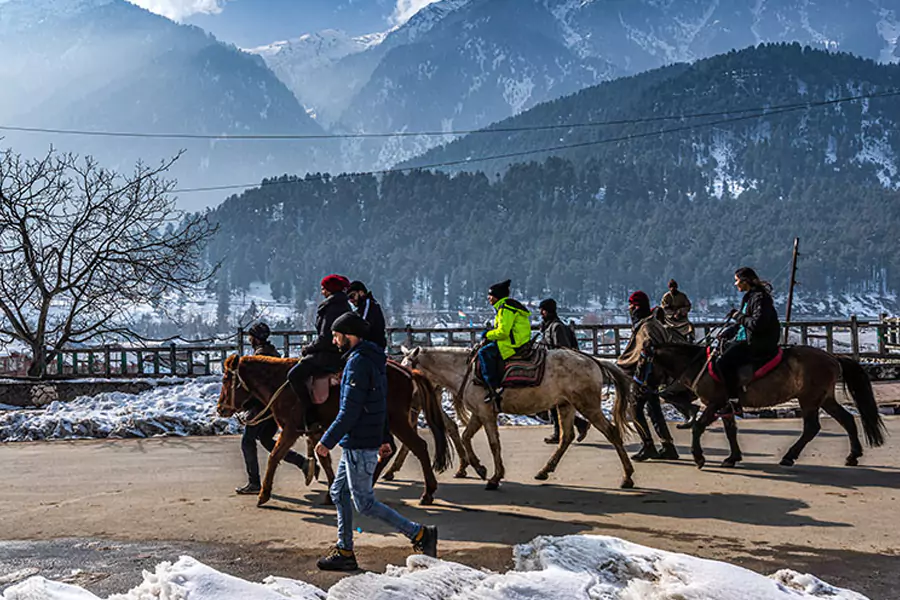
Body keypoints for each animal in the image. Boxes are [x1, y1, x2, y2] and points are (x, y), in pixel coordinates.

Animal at [215, 356, 454, 506]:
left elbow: (275, 456)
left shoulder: (291, 430)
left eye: (226, 379)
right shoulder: (315, 432)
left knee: (418, 446)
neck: (281, 383)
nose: (220, 408)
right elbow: (324, 459)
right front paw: (330, 492)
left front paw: (263, 494)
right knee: (390, 450)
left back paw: (427, 493)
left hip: (396, 421)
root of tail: (407, 372)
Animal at [400, 344, 632, 490]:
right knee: (566, 437)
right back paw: (544, 470)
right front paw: (479, 468)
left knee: (611, 432)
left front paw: (494, 477)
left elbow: (494, 444)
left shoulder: (486, 413)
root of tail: (593, 360)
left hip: (587, 405)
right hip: (565, 405)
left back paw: (627, 477)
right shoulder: (478, 413)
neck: (466, 371)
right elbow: (466, 437)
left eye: (407, 367)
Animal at [640, 342, 884, 468]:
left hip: (809, 399)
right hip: (824, 398)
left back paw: (789, 456)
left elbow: (699, 427)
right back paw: (852, 455)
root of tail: (833, 358)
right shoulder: (725, 407)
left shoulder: (715, 403)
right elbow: (730, 431)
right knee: (847, 419)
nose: (642, 387)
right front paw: (732, 457)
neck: (700, 365)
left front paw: (699, 457)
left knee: (812, 427)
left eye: (643, 362)